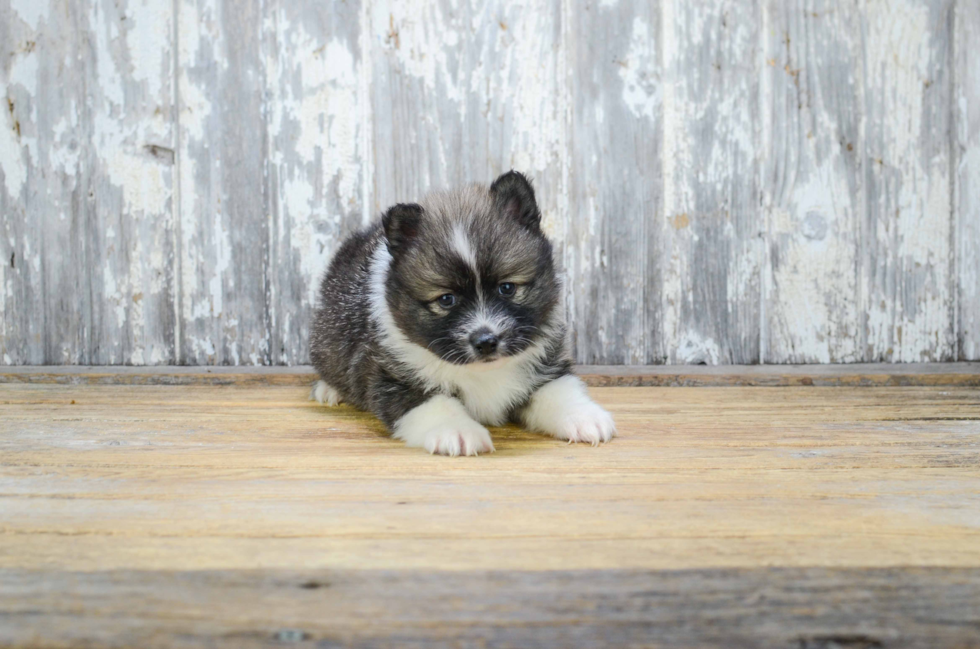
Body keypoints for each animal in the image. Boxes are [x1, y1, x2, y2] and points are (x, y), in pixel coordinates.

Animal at [310, 172, 616, 456]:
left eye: (507, 288)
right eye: (447, 299)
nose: (486, 342)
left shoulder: (546, 363)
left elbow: (558, 389)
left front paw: (583, 415)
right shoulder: (391, 376)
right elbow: (433, 403)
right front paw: (457, 431)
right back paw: (330, 389)